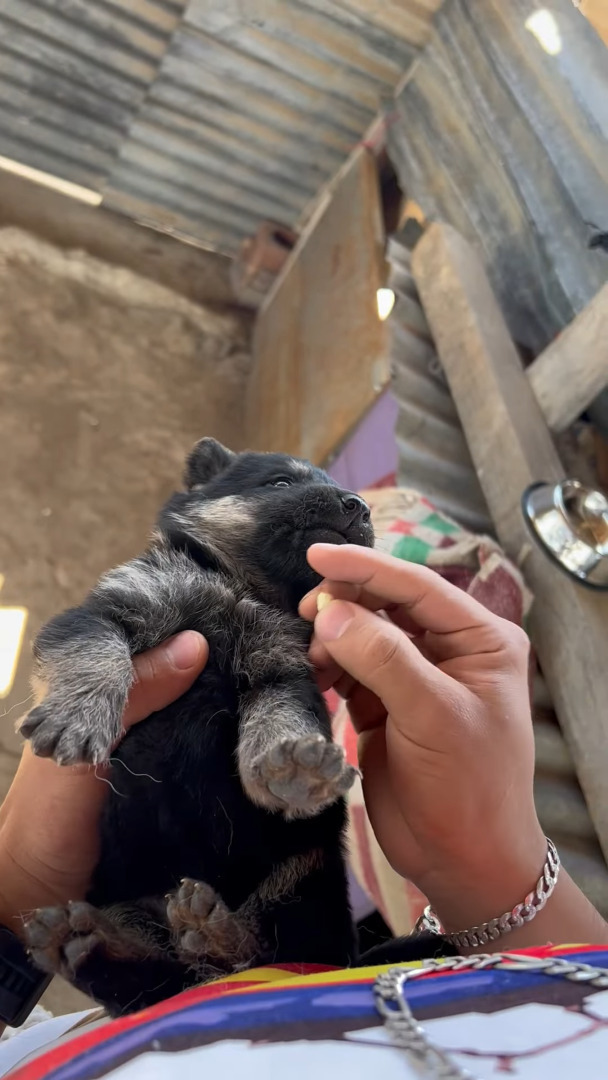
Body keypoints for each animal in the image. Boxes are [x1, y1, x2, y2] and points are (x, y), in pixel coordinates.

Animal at [20, 438, 447, 1010]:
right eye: (280, 483)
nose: (359, 505)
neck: (239, 588)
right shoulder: (112, 607)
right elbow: (96, 649)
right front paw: (77, 713)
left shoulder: (284, 669)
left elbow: (278, 712)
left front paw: (291, 763)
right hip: (129, 901)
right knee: (151, 976)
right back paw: (90, 942)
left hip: (303, 873)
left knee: (255, 954)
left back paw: (213, 935)